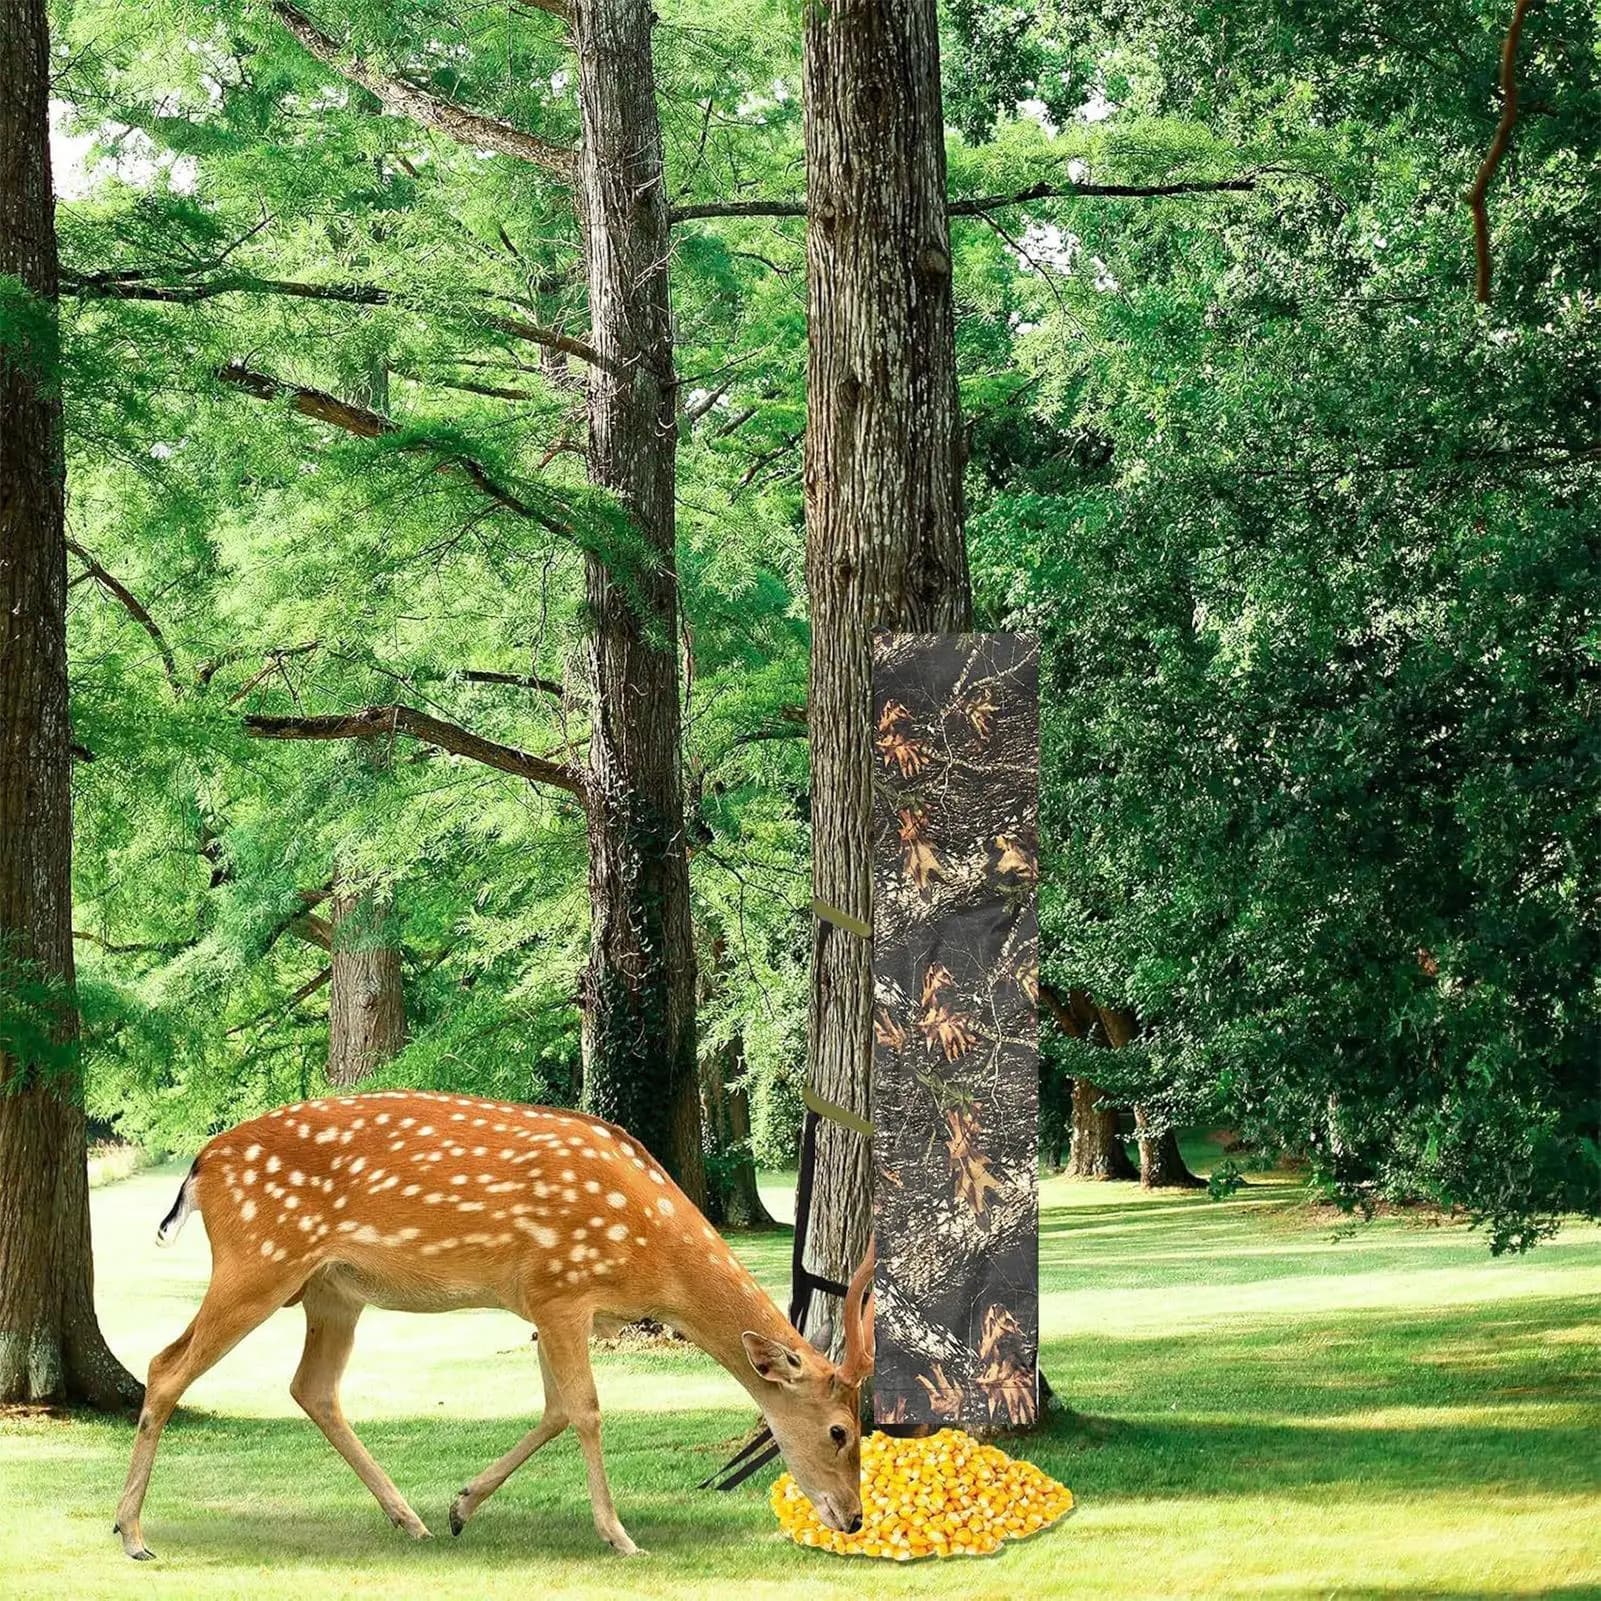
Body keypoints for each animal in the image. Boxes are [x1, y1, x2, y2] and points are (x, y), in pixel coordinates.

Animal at [114, 1090, 875, 1561]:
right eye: (839, 1430)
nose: (854, 1516)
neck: (652, 1258)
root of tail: (200, 1165)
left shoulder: (545, 1305)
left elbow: (555, 1408)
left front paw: (461, 1506)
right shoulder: (560, 1285)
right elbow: (586, 1408)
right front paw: (618, 1535)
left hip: (331, 1289)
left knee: (313, 1386)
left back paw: (411, 1519)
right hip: (260, 1259)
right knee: (166, 1365)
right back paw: (132, 1533)